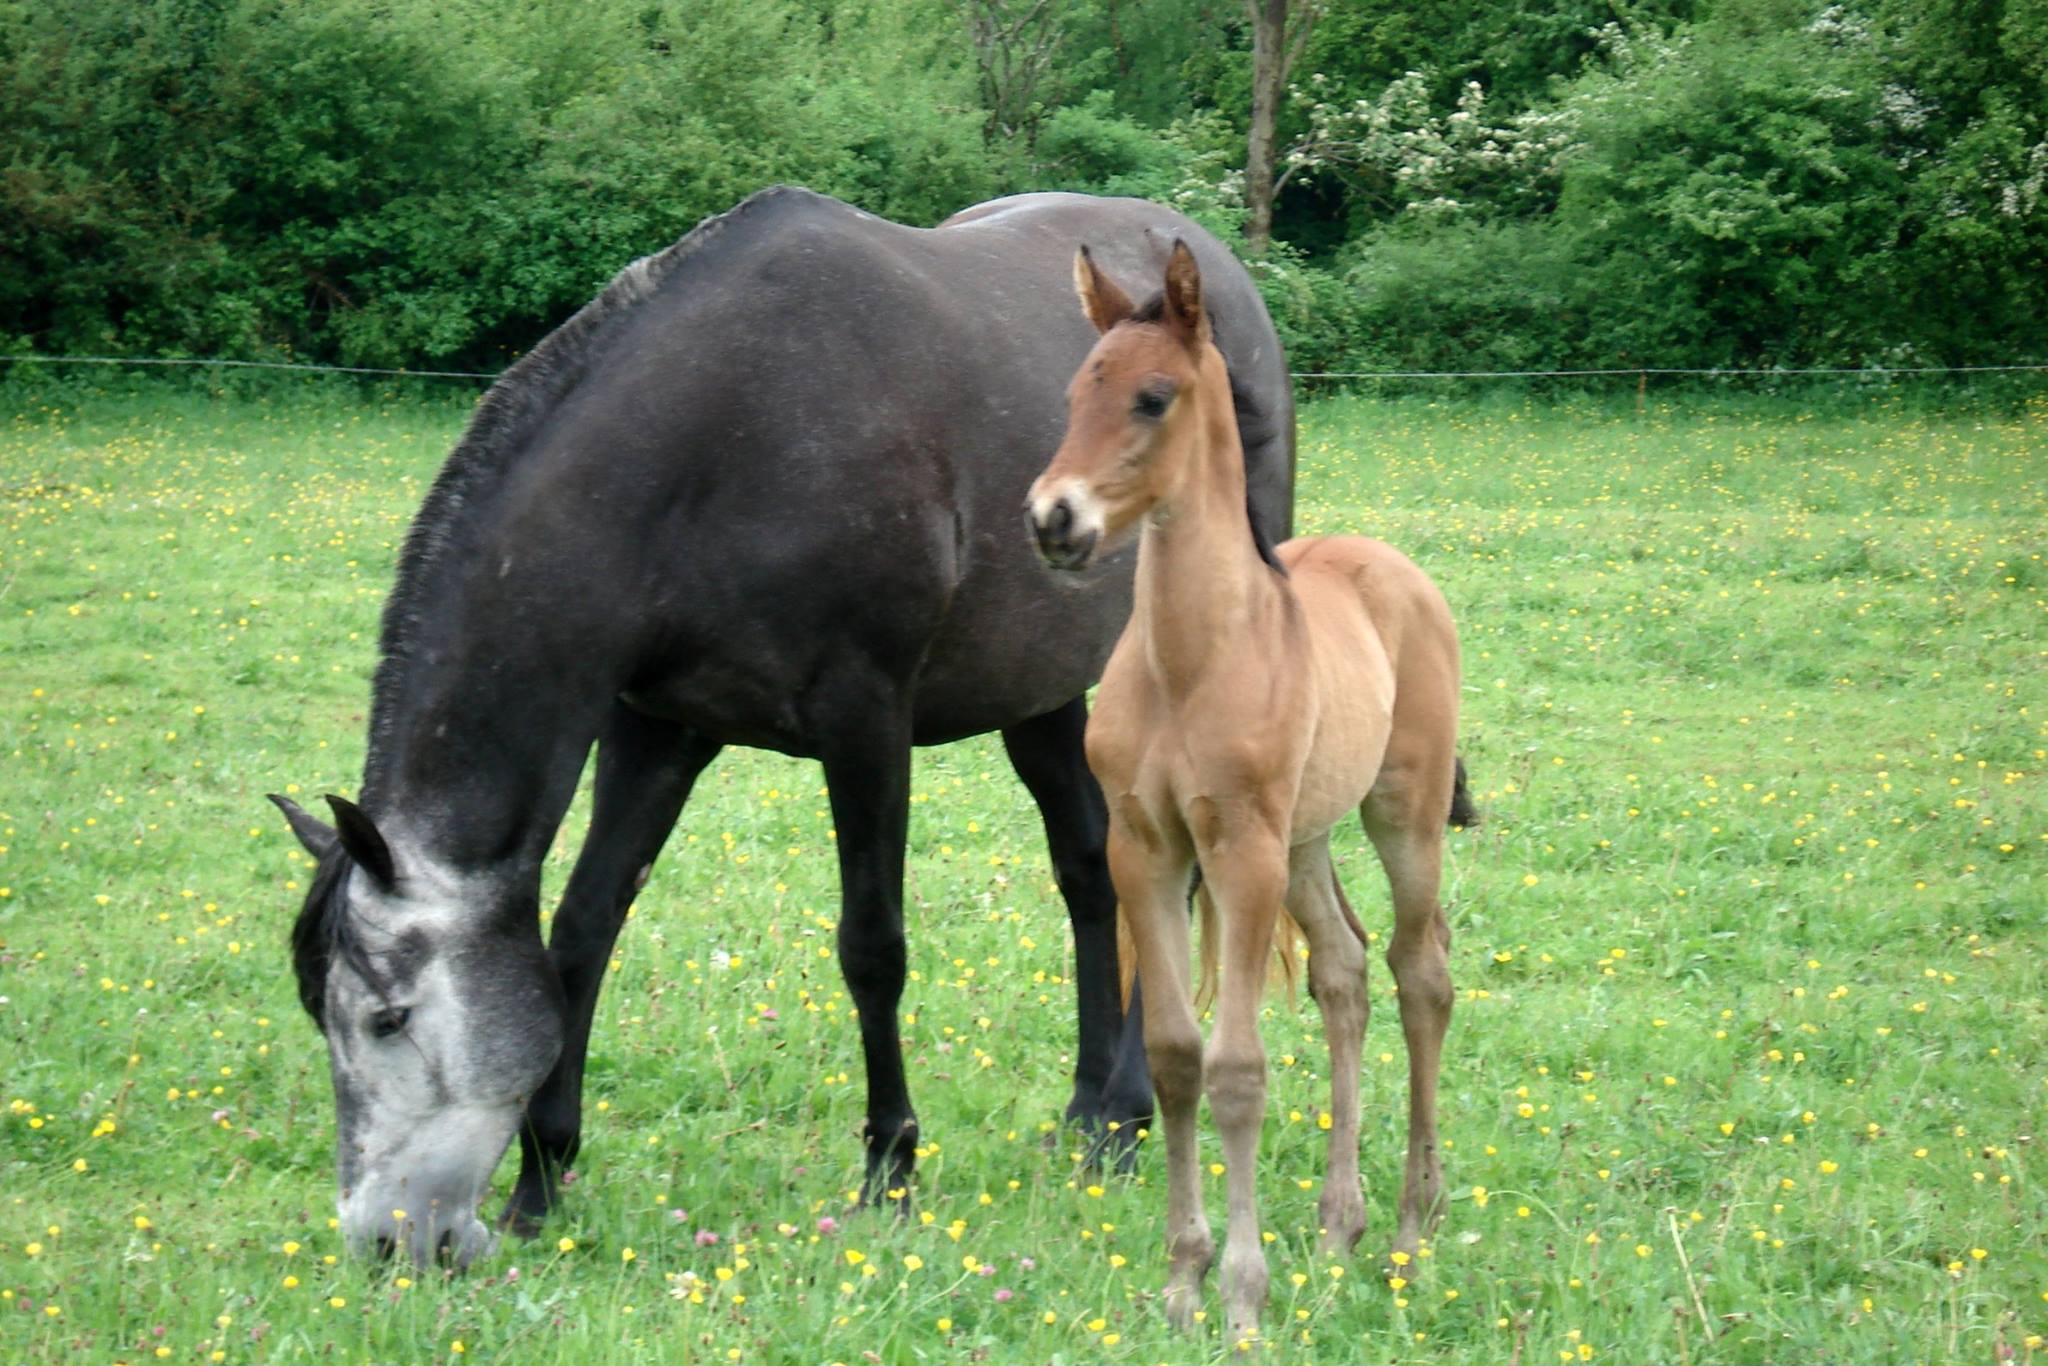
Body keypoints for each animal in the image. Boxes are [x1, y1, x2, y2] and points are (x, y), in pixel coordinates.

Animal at [268, 186, 1294, 1269]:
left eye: (389, 1017)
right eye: (322, 1016)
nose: (385, 1242)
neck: (716, 445)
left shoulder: (864, 722)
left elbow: (871, 947)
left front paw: (890, 1170)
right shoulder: (655, 731)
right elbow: (582, 929)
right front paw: (541, 1182)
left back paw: (1134, 1112)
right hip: (1038, 694)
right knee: (1092, 871)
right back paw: (1098, 1116)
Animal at [1025, 240, 1470, 1337]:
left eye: (1152, 397)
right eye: (1074, 392)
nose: (1053, 519)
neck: (1191, 660)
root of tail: (1394, 567)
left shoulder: (1238, 851)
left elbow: (1236, 1071)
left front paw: (1240, 1299)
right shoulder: (1144, 849)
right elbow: (1177, 1057)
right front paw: (1183, 1281)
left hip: (1397, 817)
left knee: (1421, 973)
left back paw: (1410, 1225)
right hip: (1306, 837)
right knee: (1346, 973)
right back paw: (1338, 1225)